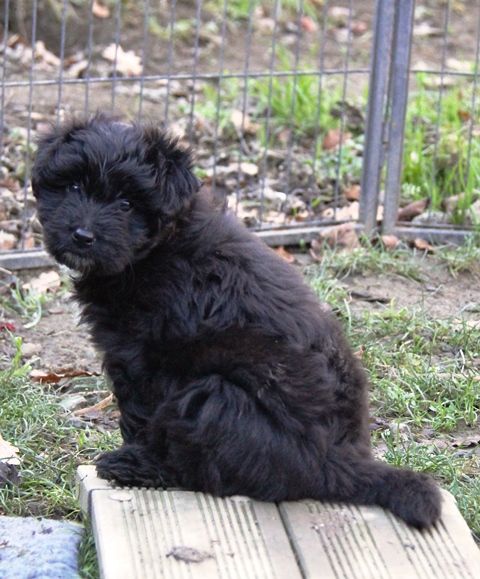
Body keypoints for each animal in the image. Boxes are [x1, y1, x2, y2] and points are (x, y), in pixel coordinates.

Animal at [31, 116, 440, 532]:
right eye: (74, 186)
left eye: (127, 204)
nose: (82, 235)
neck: (157, 249)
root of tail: (336, 465)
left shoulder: (142, 361)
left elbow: (140, 417)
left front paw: (137, 454)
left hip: (213, 400)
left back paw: (139, 467)